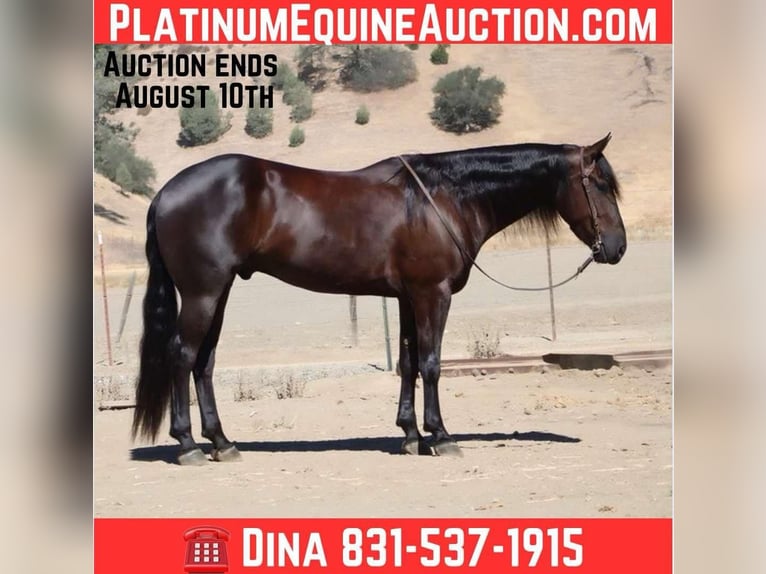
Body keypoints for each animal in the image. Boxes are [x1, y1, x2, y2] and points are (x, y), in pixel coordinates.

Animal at [132, 134, 626, 465]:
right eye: (601, 184)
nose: (617, 248)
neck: (444, 197)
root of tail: (166, 193)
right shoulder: (432, 294)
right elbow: (431, 363)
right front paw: (440, 436)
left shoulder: (408, 298)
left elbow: (408, 363)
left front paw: (409, 435)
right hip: (203, 291)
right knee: (182, 356)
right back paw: (189, 445)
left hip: (219, 292)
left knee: (204, 362)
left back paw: (222, 443)